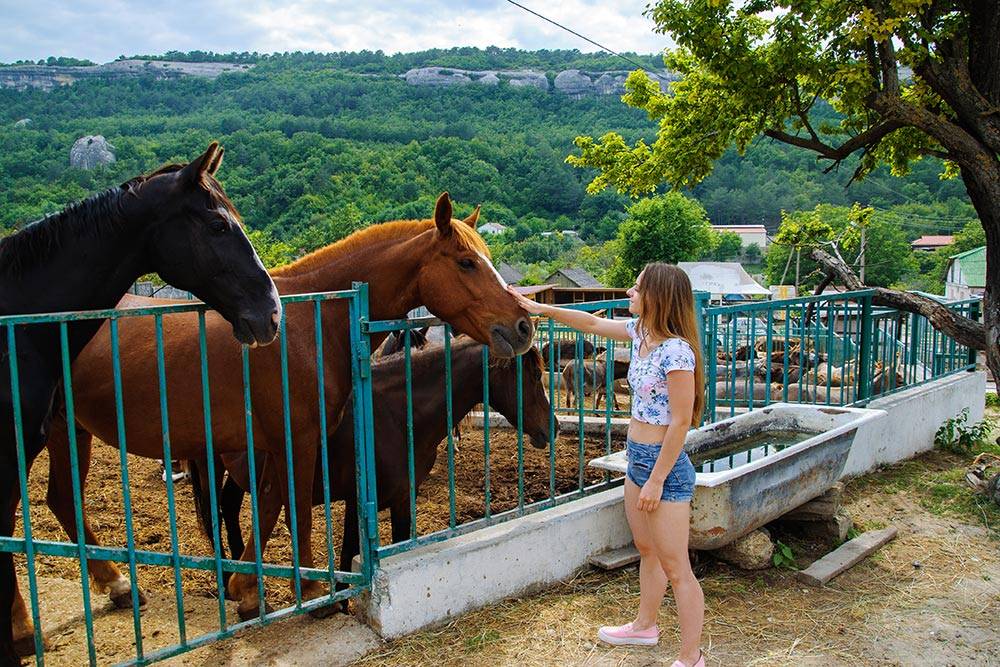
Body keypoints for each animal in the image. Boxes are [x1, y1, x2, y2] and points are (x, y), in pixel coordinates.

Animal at [188, 336, 548, 588]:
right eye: (531, 375)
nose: (552, 428)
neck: (394, 415)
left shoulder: (403, 497)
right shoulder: (356, 501)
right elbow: (349, 553)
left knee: (229, 507)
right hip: (210, 467)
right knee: (216, 513)